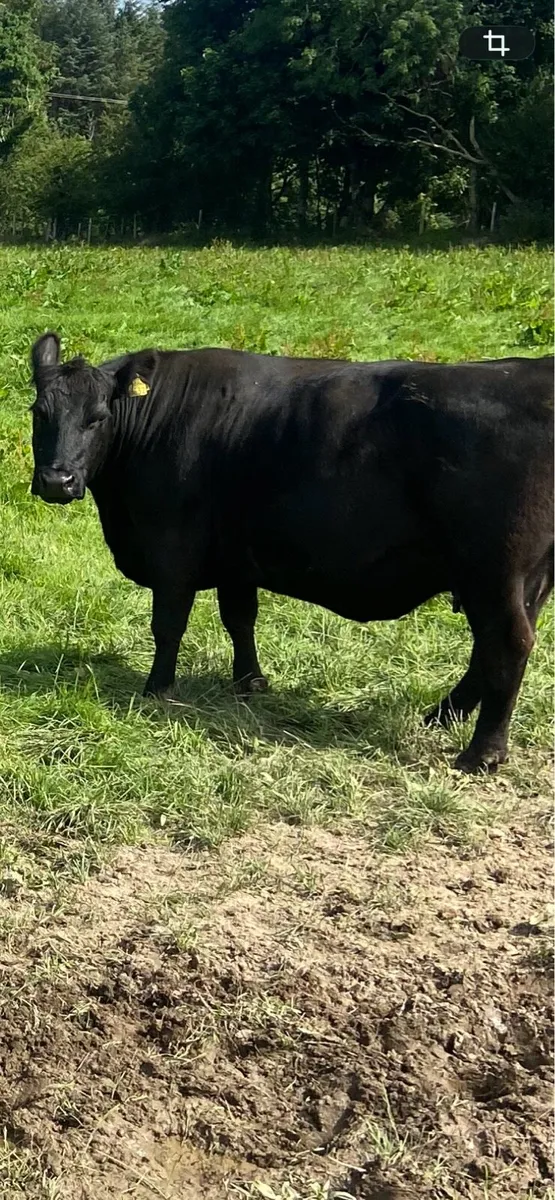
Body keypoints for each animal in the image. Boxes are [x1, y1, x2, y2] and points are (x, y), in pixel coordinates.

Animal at [29, 332, 553, 774]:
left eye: (97, 418)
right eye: (39, 412)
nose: (57, 480)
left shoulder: (172, 550)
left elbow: (168, 625)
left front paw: (158, 689)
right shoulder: (235, 557)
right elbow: (240, 618)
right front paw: (250, 682)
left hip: (494, 571)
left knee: (507, 645)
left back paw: (481, 752)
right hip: (520, 579)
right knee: (491, 649)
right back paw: (442, 715)